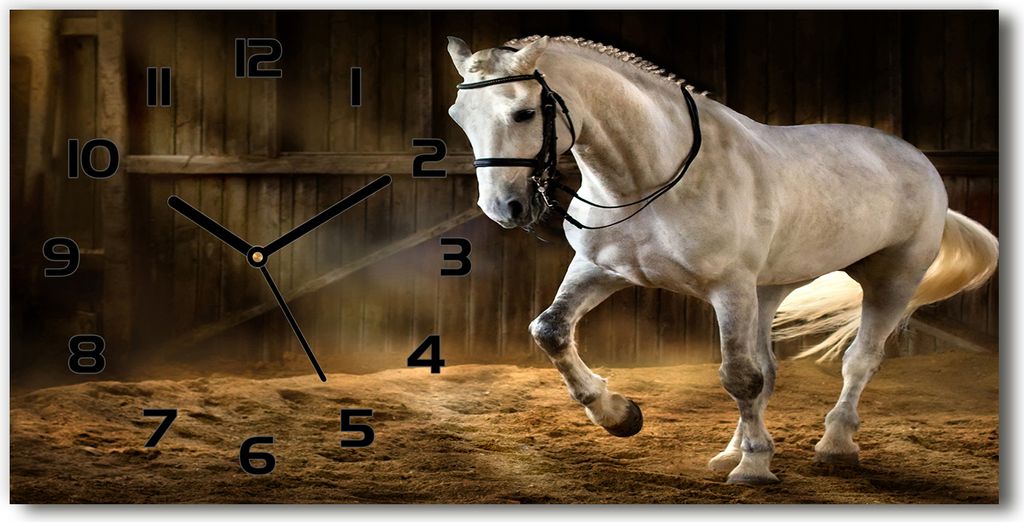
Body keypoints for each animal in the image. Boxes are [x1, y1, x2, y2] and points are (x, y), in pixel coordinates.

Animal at [445, 35, 998, 485]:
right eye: (458, 116)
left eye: (523, 113)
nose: (503, 208)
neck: (653, 179)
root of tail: (916, 158)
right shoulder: (600, 271)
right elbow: (550, 331)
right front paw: (620, 416)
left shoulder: (728, 289)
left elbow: (738, 377)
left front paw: (755, 468)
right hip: (766, 291)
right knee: (768, 368)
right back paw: (731, 451)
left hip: (891, 279)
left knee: (858, 360)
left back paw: (833, 446)